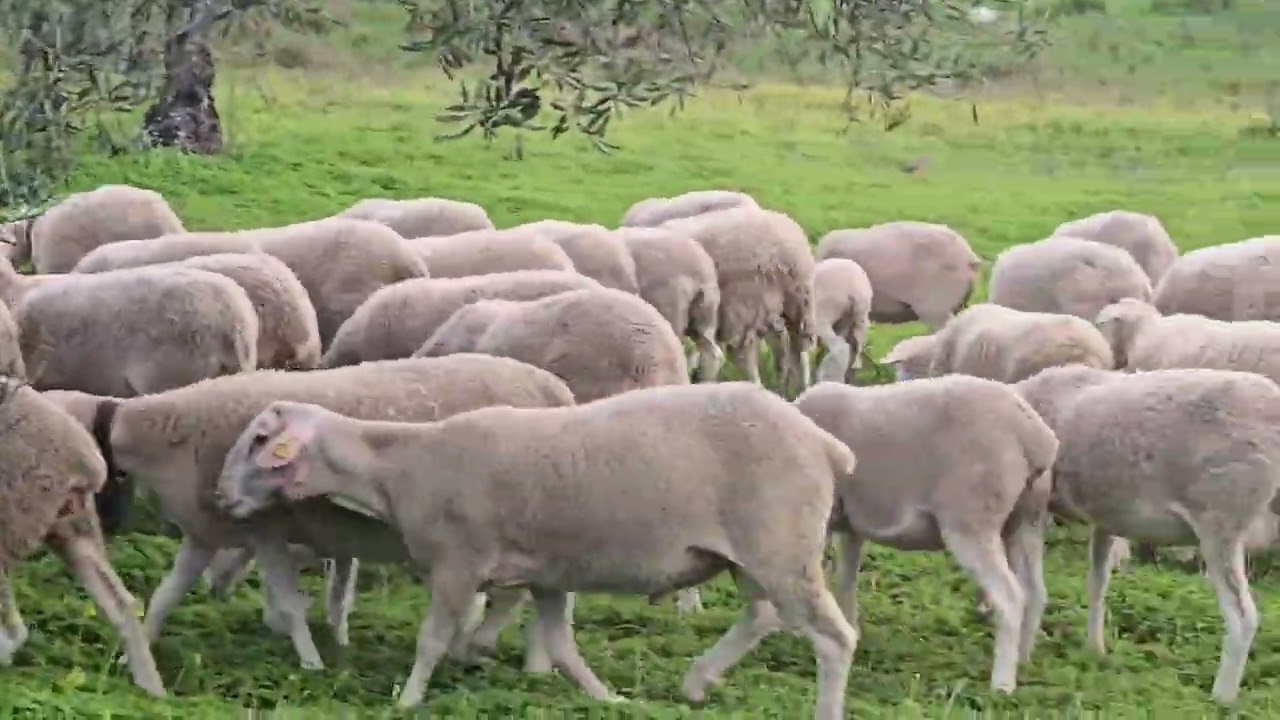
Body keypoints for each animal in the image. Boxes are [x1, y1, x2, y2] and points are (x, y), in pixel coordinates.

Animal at [0, 377, 164, 696]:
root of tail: (85, 459)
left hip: (13, 517)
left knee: (16, 629)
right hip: (73, 529)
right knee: (123, 604)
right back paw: (153, 693)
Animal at [51, 355, 577, 672]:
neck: (169, 435)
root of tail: (557, 389)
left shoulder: (262, 527)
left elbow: (286, 601)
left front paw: (311, 664)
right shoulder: (206, 530)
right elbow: (164, 595)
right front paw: (136, 651)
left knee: (526, 597)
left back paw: (508, 656)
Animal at [214, 381, 859, 718]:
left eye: (261, 440)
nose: (220, 497)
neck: (402, 466)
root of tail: (826, 444)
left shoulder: (457, 563)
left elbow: (432, 640)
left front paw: (408, 699)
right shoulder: (548, 573)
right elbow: (561, 645)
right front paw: (608, 697)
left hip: (779, 545)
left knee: (833, 638)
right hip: (756, 554)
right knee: (763, 615)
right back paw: (698, 680)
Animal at [794, 376, 1057, 692]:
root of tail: (1034, 436)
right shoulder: (852, 525)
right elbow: (845, 578)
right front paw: (851, 628)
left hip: (971, 520)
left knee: (1010, 596)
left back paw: (1002, 684)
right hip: (1026, 520)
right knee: (1035, 591)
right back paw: (1023, 660)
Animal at [1012, 366, 1280, 704]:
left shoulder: (1030, 505)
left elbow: (1030, 587)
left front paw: (1022, 657)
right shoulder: (1106, 516)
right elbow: (1097, 583)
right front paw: (1095, 649)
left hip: (1220, 523)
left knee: (1243, 618)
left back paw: (1221, 698)